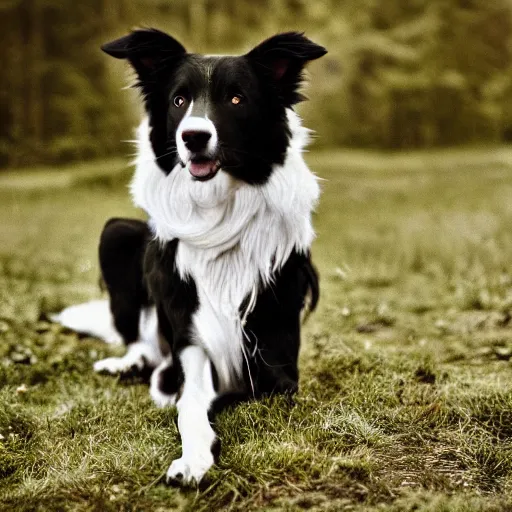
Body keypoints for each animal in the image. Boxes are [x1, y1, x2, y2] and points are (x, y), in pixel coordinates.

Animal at [52, 30, 326, 486]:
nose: (193, 136)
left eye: (236, 98)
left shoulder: (280, 368)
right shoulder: (190, 342)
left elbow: (251, 390)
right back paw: (127, 363)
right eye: (179, 100)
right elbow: (189, 402)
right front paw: (193, 455)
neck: (220, 211)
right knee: (141, 341)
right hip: (115, 235)